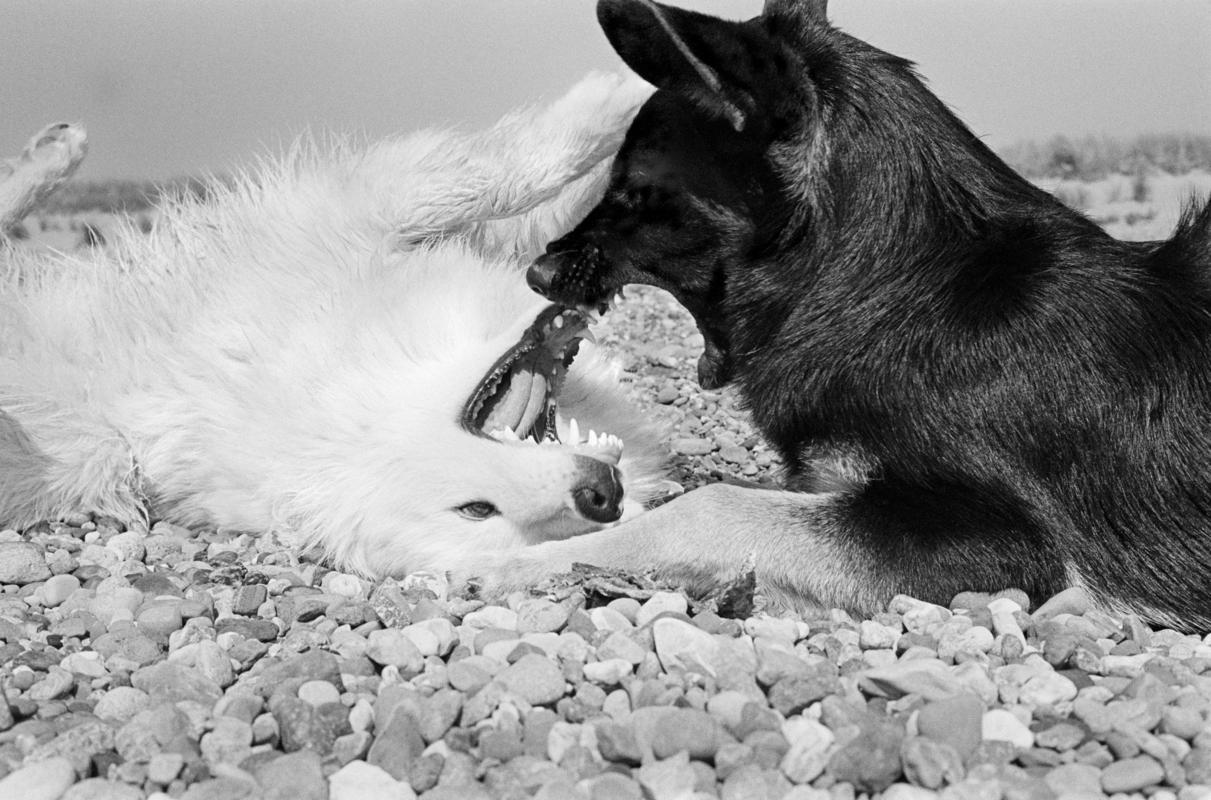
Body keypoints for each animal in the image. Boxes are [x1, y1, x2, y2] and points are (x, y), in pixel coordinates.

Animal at [0, 73, 668, 573]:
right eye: (477, 511)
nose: (602, 498)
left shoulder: (356, 223)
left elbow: (517, 187)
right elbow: (498, 175)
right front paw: (622, 95)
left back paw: (53, 149)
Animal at [481, 0, 1211, 629]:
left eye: (634, 192)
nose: (535, 274)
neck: (899, 289)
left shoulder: (1005, 537)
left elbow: (708, 505)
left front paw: (520, 561)